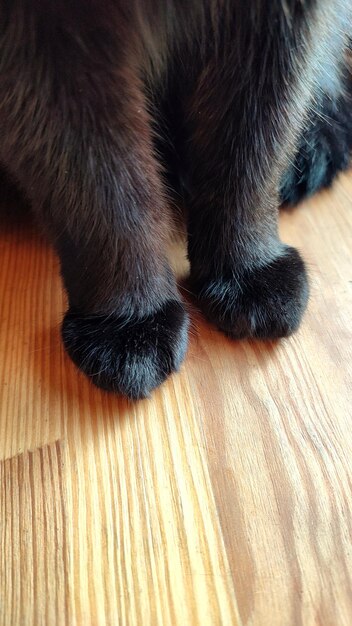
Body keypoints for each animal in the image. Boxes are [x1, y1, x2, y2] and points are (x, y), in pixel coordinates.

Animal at [0, 2, 350, 398]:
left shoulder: (280, 23)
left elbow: (254, 148)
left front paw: (247, 269)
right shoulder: (40, 44)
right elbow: (102, 191)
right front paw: (131, 322)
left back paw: (313, 151)